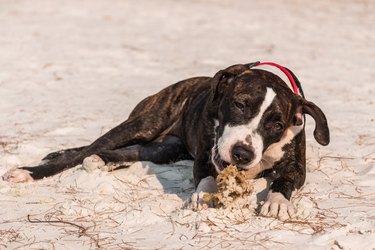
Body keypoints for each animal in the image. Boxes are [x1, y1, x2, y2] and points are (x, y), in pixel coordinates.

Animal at [2, 62, 328, 221]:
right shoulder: (205, 157)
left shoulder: (296, 166)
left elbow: (285, 179)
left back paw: (101, 161)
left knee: (132, 151)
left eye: (277, 125)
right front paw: (203, 195)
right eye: (239, 104)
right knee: (89, 147)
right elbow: (207, 177)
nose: (242, 153)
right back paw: (31, 170)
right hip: (146, 122)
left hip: (164, 148)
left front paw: (277, 201)